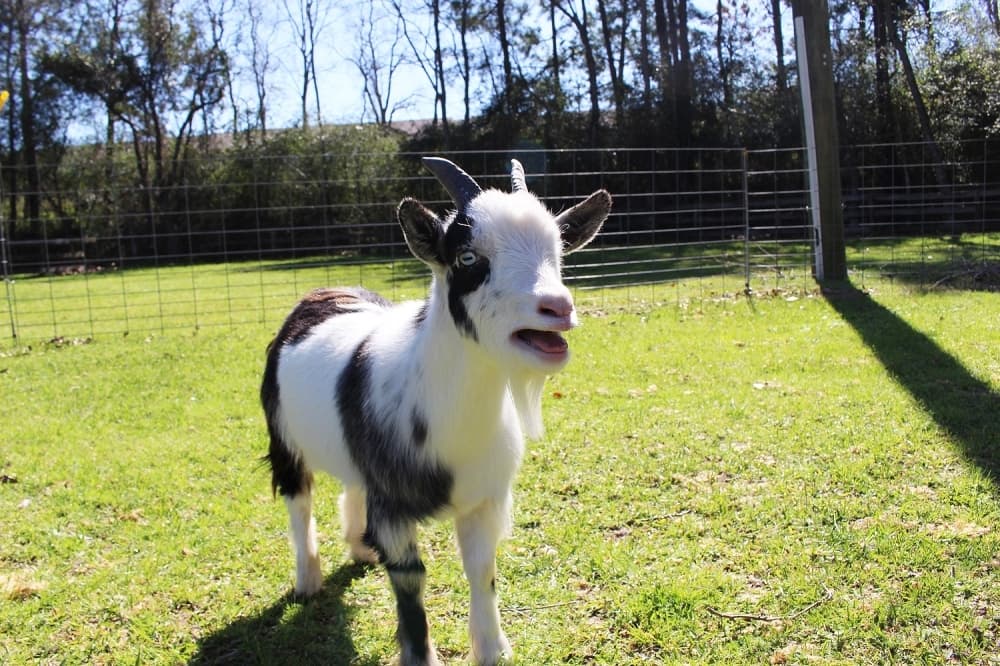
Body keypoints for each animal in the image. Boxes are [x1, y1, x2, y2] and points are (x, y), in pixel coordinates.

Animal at [260, 156, 611, 665]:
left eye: (558, 250)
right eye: (467, 258)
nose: (557, 307)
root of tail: (323, 291)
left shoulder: (484, 500)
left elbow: (482, 569)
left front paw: (492, 649)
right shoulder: (393, 507)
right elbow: (410, 581)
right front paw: (420, 655)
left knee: (351, 483)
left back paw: (360, 549)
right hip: (283, 436)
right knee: (298, 500)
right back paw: (308, 580)